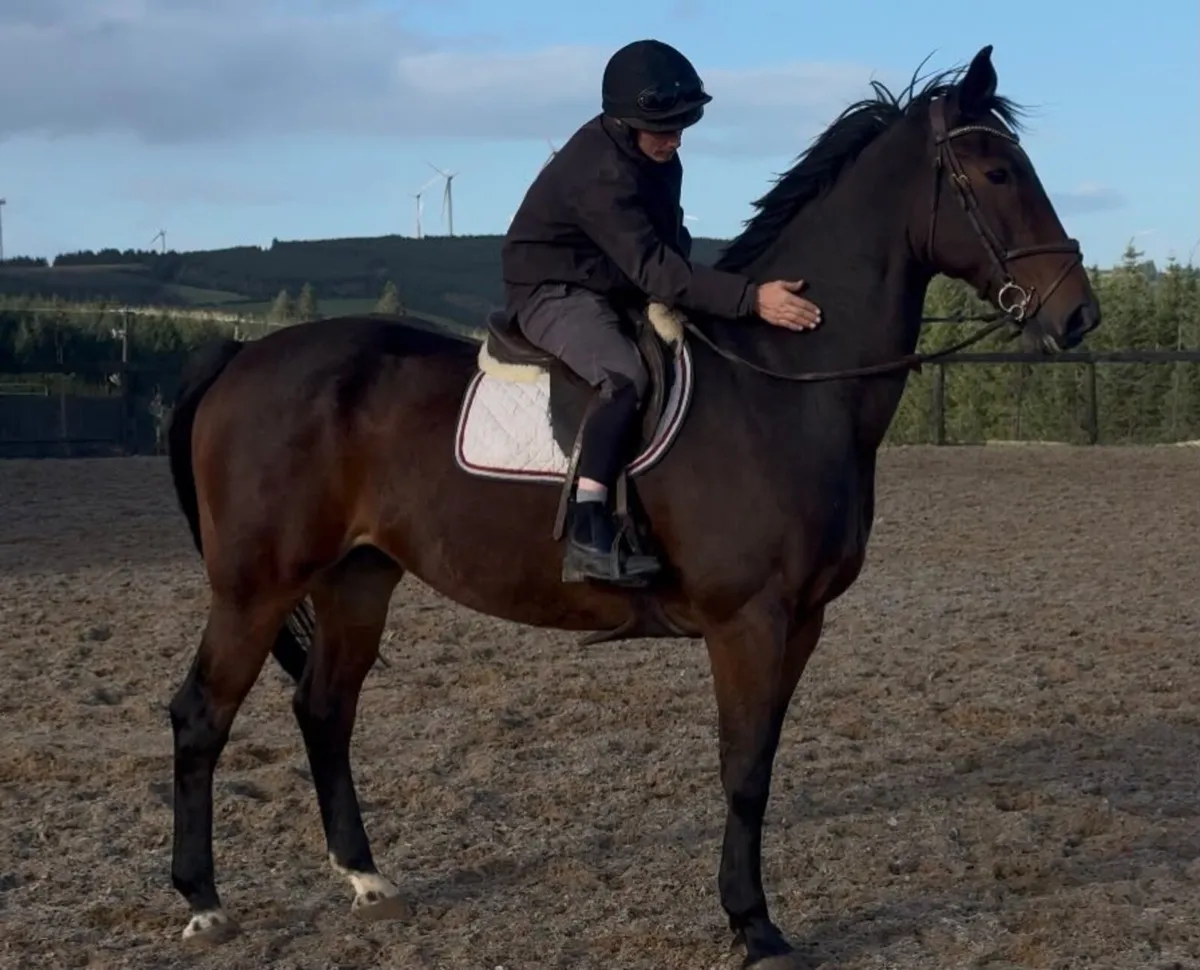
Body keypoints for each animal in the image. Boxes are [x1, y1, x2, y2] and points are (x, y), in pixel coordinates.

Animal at [162, 46, 1100, 968]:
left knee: (325, 707)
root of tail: (242, 355)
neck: (784, 382)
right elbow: (743, 770)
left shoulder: (803, 620)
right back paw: (204, 902)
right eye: (997, 171)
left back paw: (365, 879)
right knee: (201, 714)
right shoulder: (748, 620)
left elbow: (762, 762)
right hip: (256, 587)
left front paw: (751, 917)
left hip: (358, 578)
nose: (1078, 314)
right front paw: (754, 927)